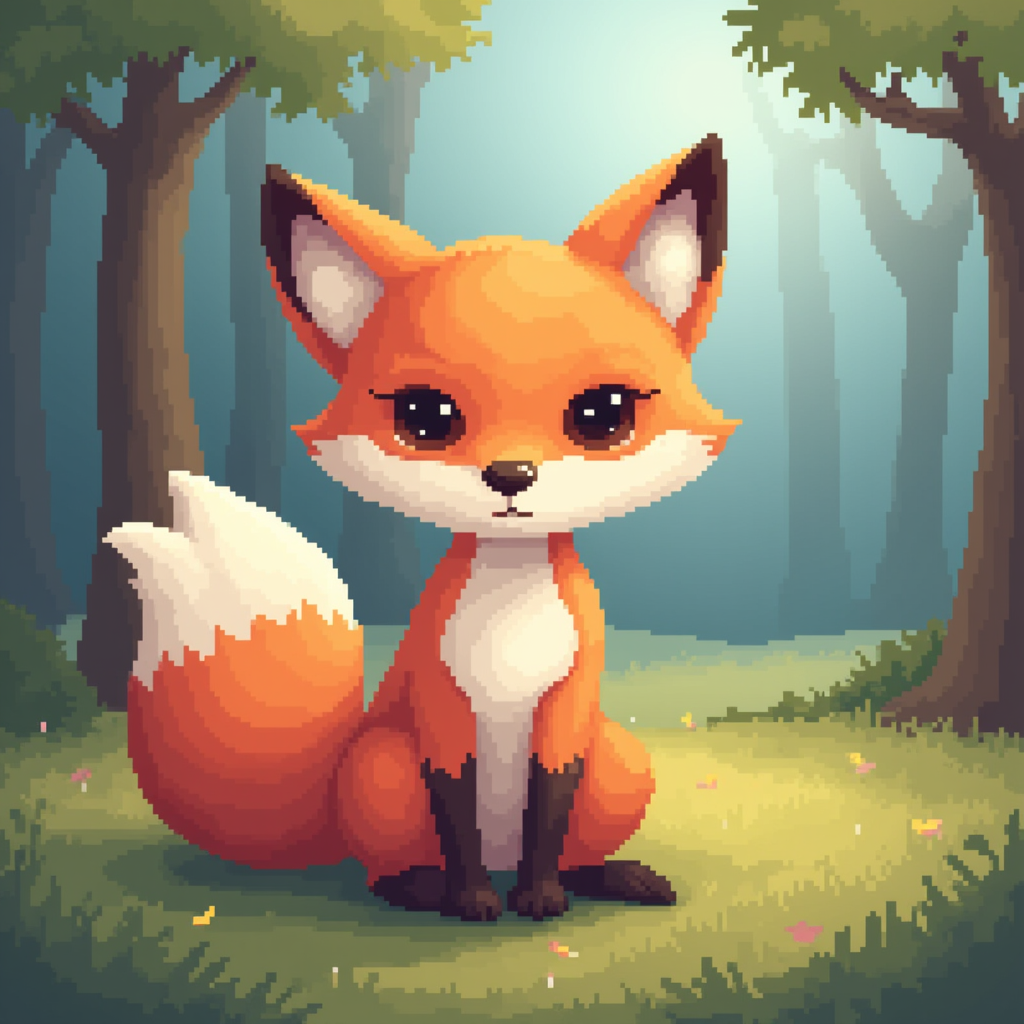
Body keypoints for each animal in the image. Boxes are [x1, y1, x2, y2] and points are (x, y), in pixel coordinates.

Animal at [105, 135, 739, 922]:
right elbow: (453, 797)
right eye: (425, 417)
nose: (510, 475)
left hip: (622, 758)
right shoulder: (438, 699)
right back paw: (422, 886)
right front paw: (472, 902)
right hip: (378, 765)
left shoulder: (569, 706)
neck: (509, 596)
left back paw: (607, 875)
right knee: (389, 866)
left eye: (603, 414)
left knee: (576, 842)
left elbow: (550, 801)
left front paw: (540, 897)